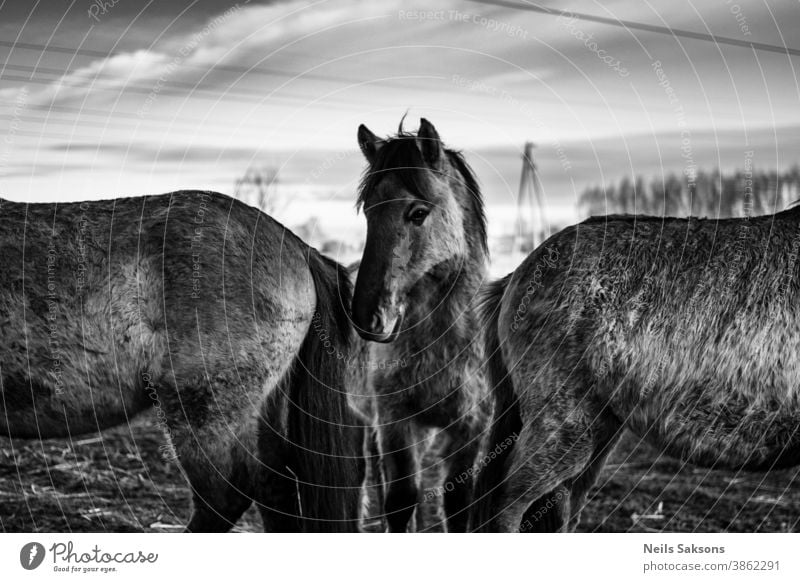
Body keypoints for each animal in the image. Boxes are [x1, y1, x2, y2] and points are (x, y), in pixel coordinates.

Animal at [352, 118, 490, 532]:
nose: (366, 318)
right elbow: (399, 500)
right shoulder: (395, 421)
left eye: (417, 213)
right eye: (368, 212)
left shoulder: (469, 430)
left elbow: (457, 504)